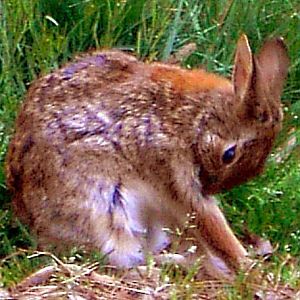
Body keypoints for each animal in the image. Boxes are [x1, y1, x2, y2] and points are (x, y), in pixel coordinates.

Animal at [5, 34, 290, 278]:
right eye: (229, 154)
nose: (209, 186)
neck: (196, 118)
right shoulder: (174, 169)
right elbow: (208, 222)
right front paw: (247, 266)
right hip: (104, 214)